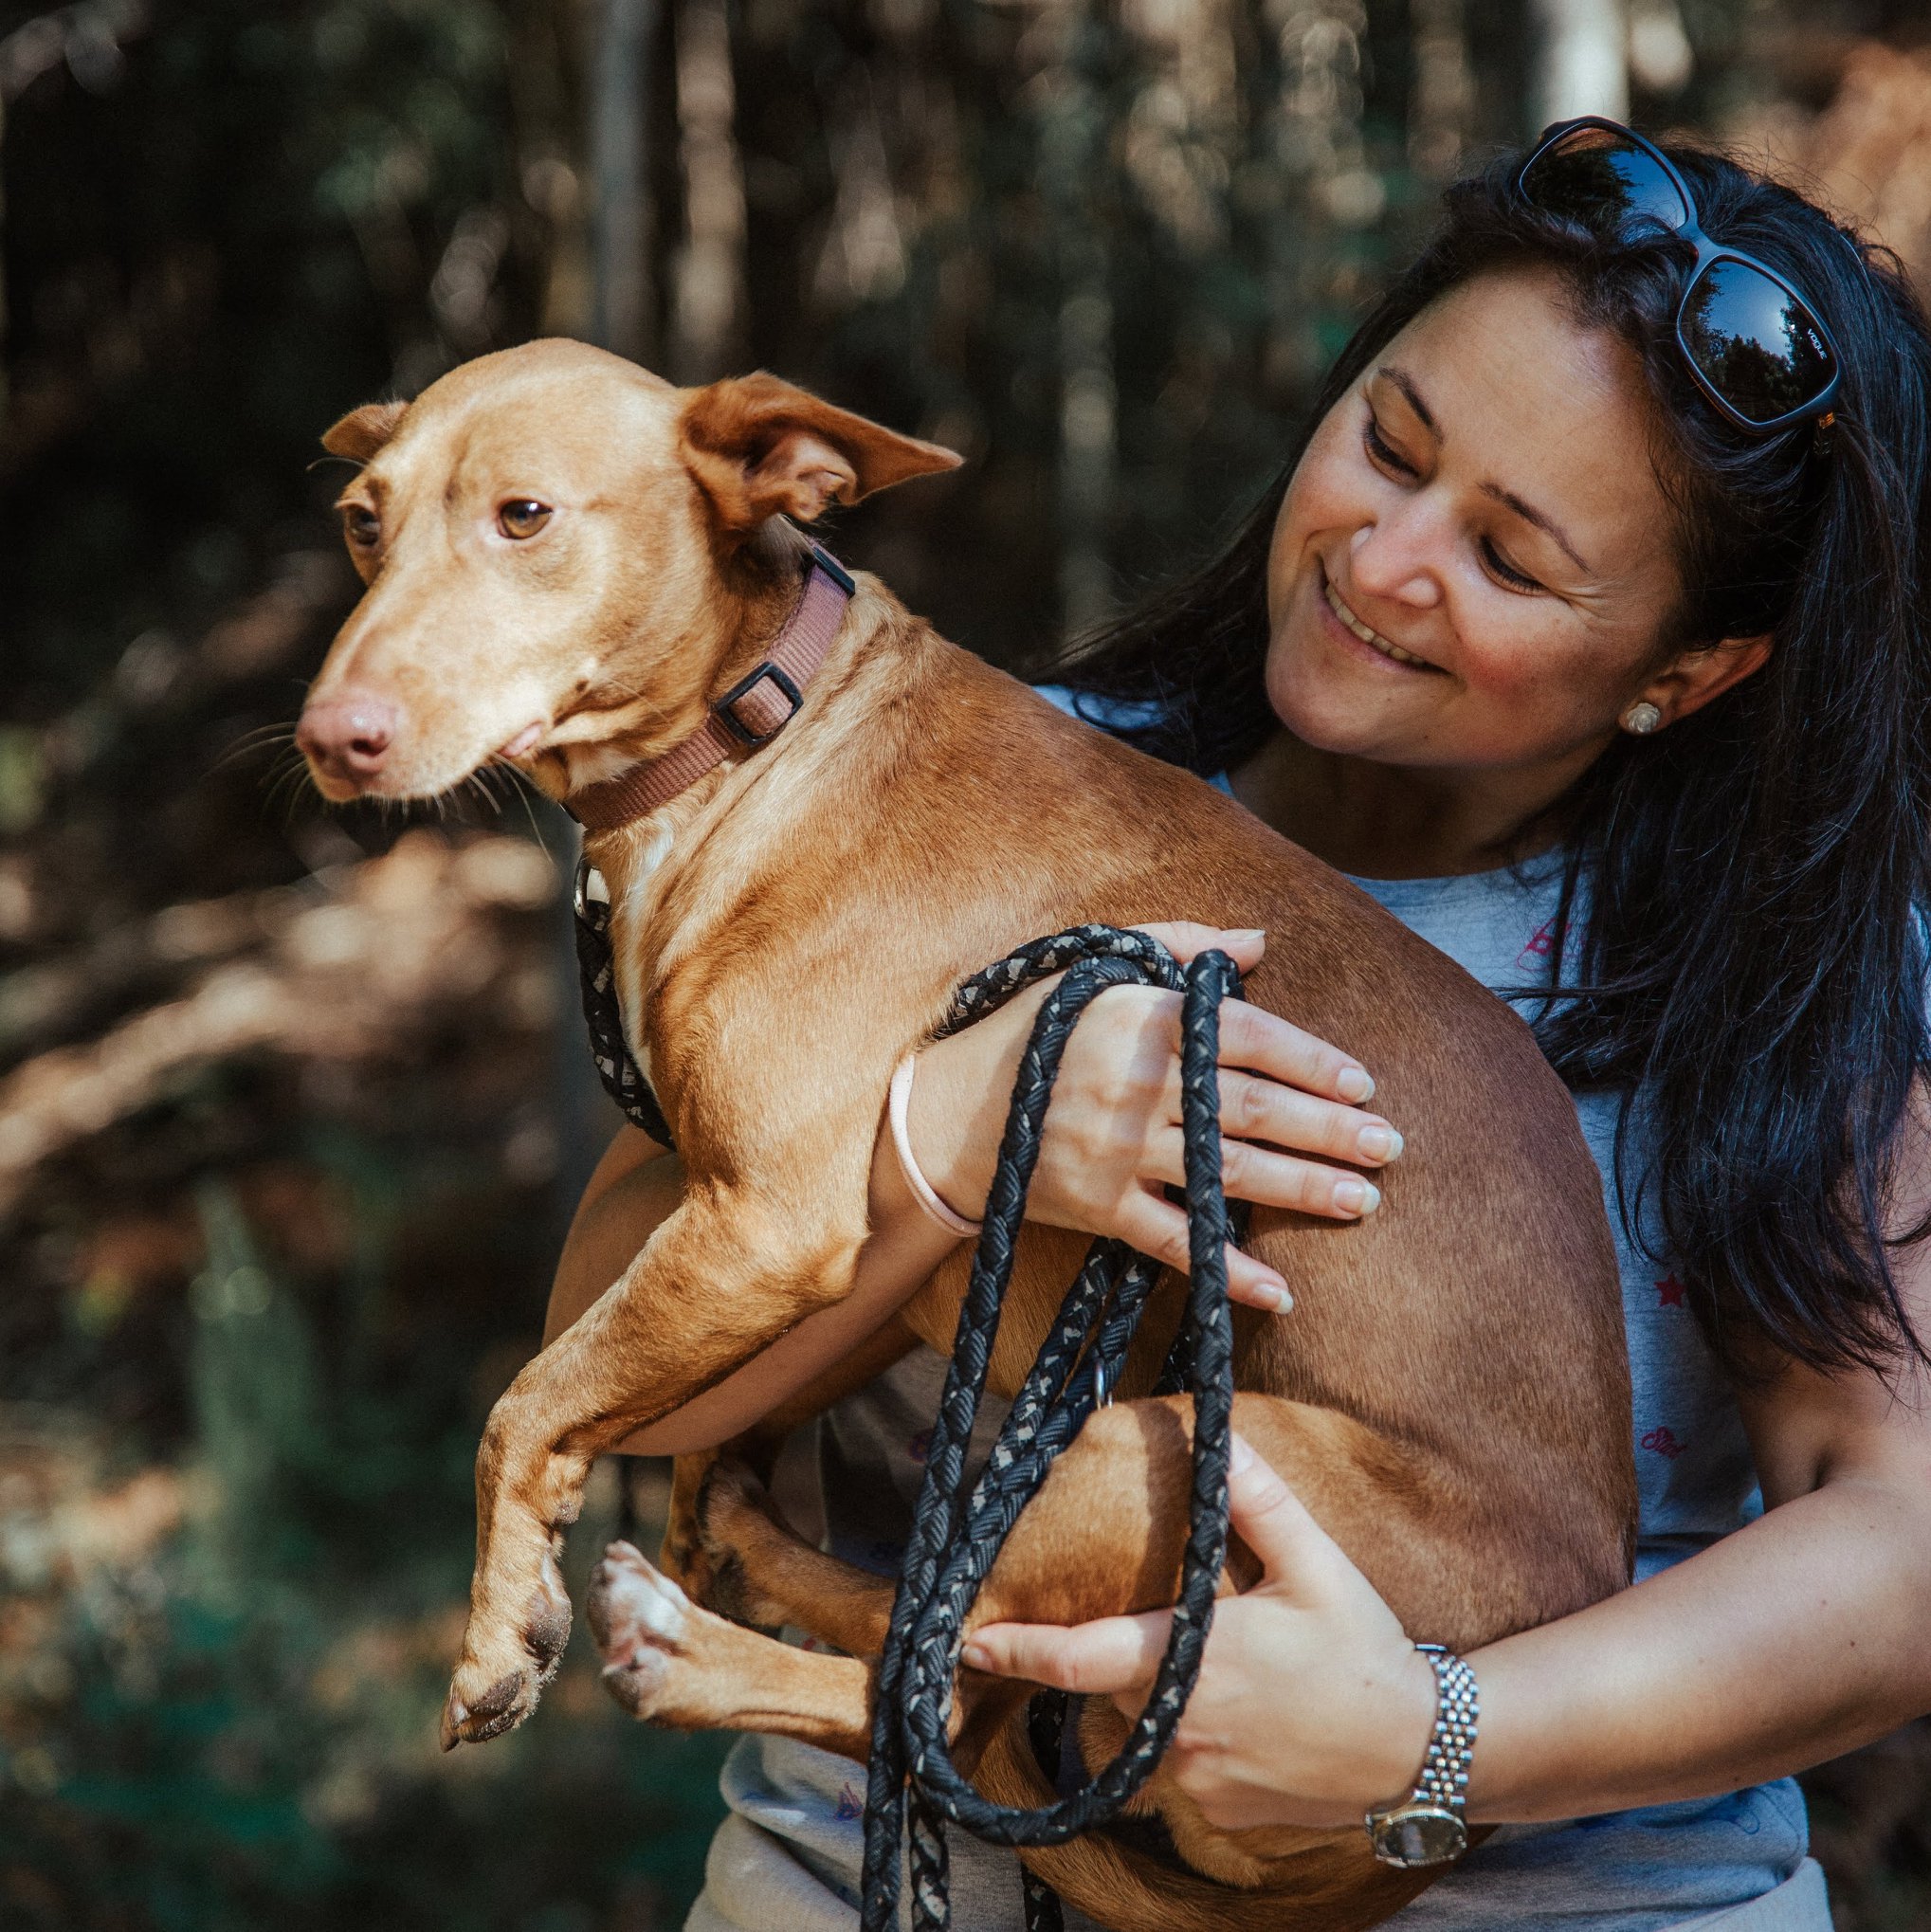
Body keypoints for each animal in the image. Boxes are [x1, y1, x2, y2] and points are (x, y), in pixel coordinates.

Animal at [297, 343, 1630, 1932]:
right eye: (363, 521)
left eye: (524, 515)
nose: (330, 741)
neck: (760, 730)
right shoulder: (837, 1259)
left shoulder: (767, 1219)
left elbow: (522, 1403)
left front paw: (497, 1630)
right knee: (943, 1648)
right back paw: (746, 1555)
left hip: (1155, 1448)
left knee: (936, 1701)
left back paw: (687, 1642)